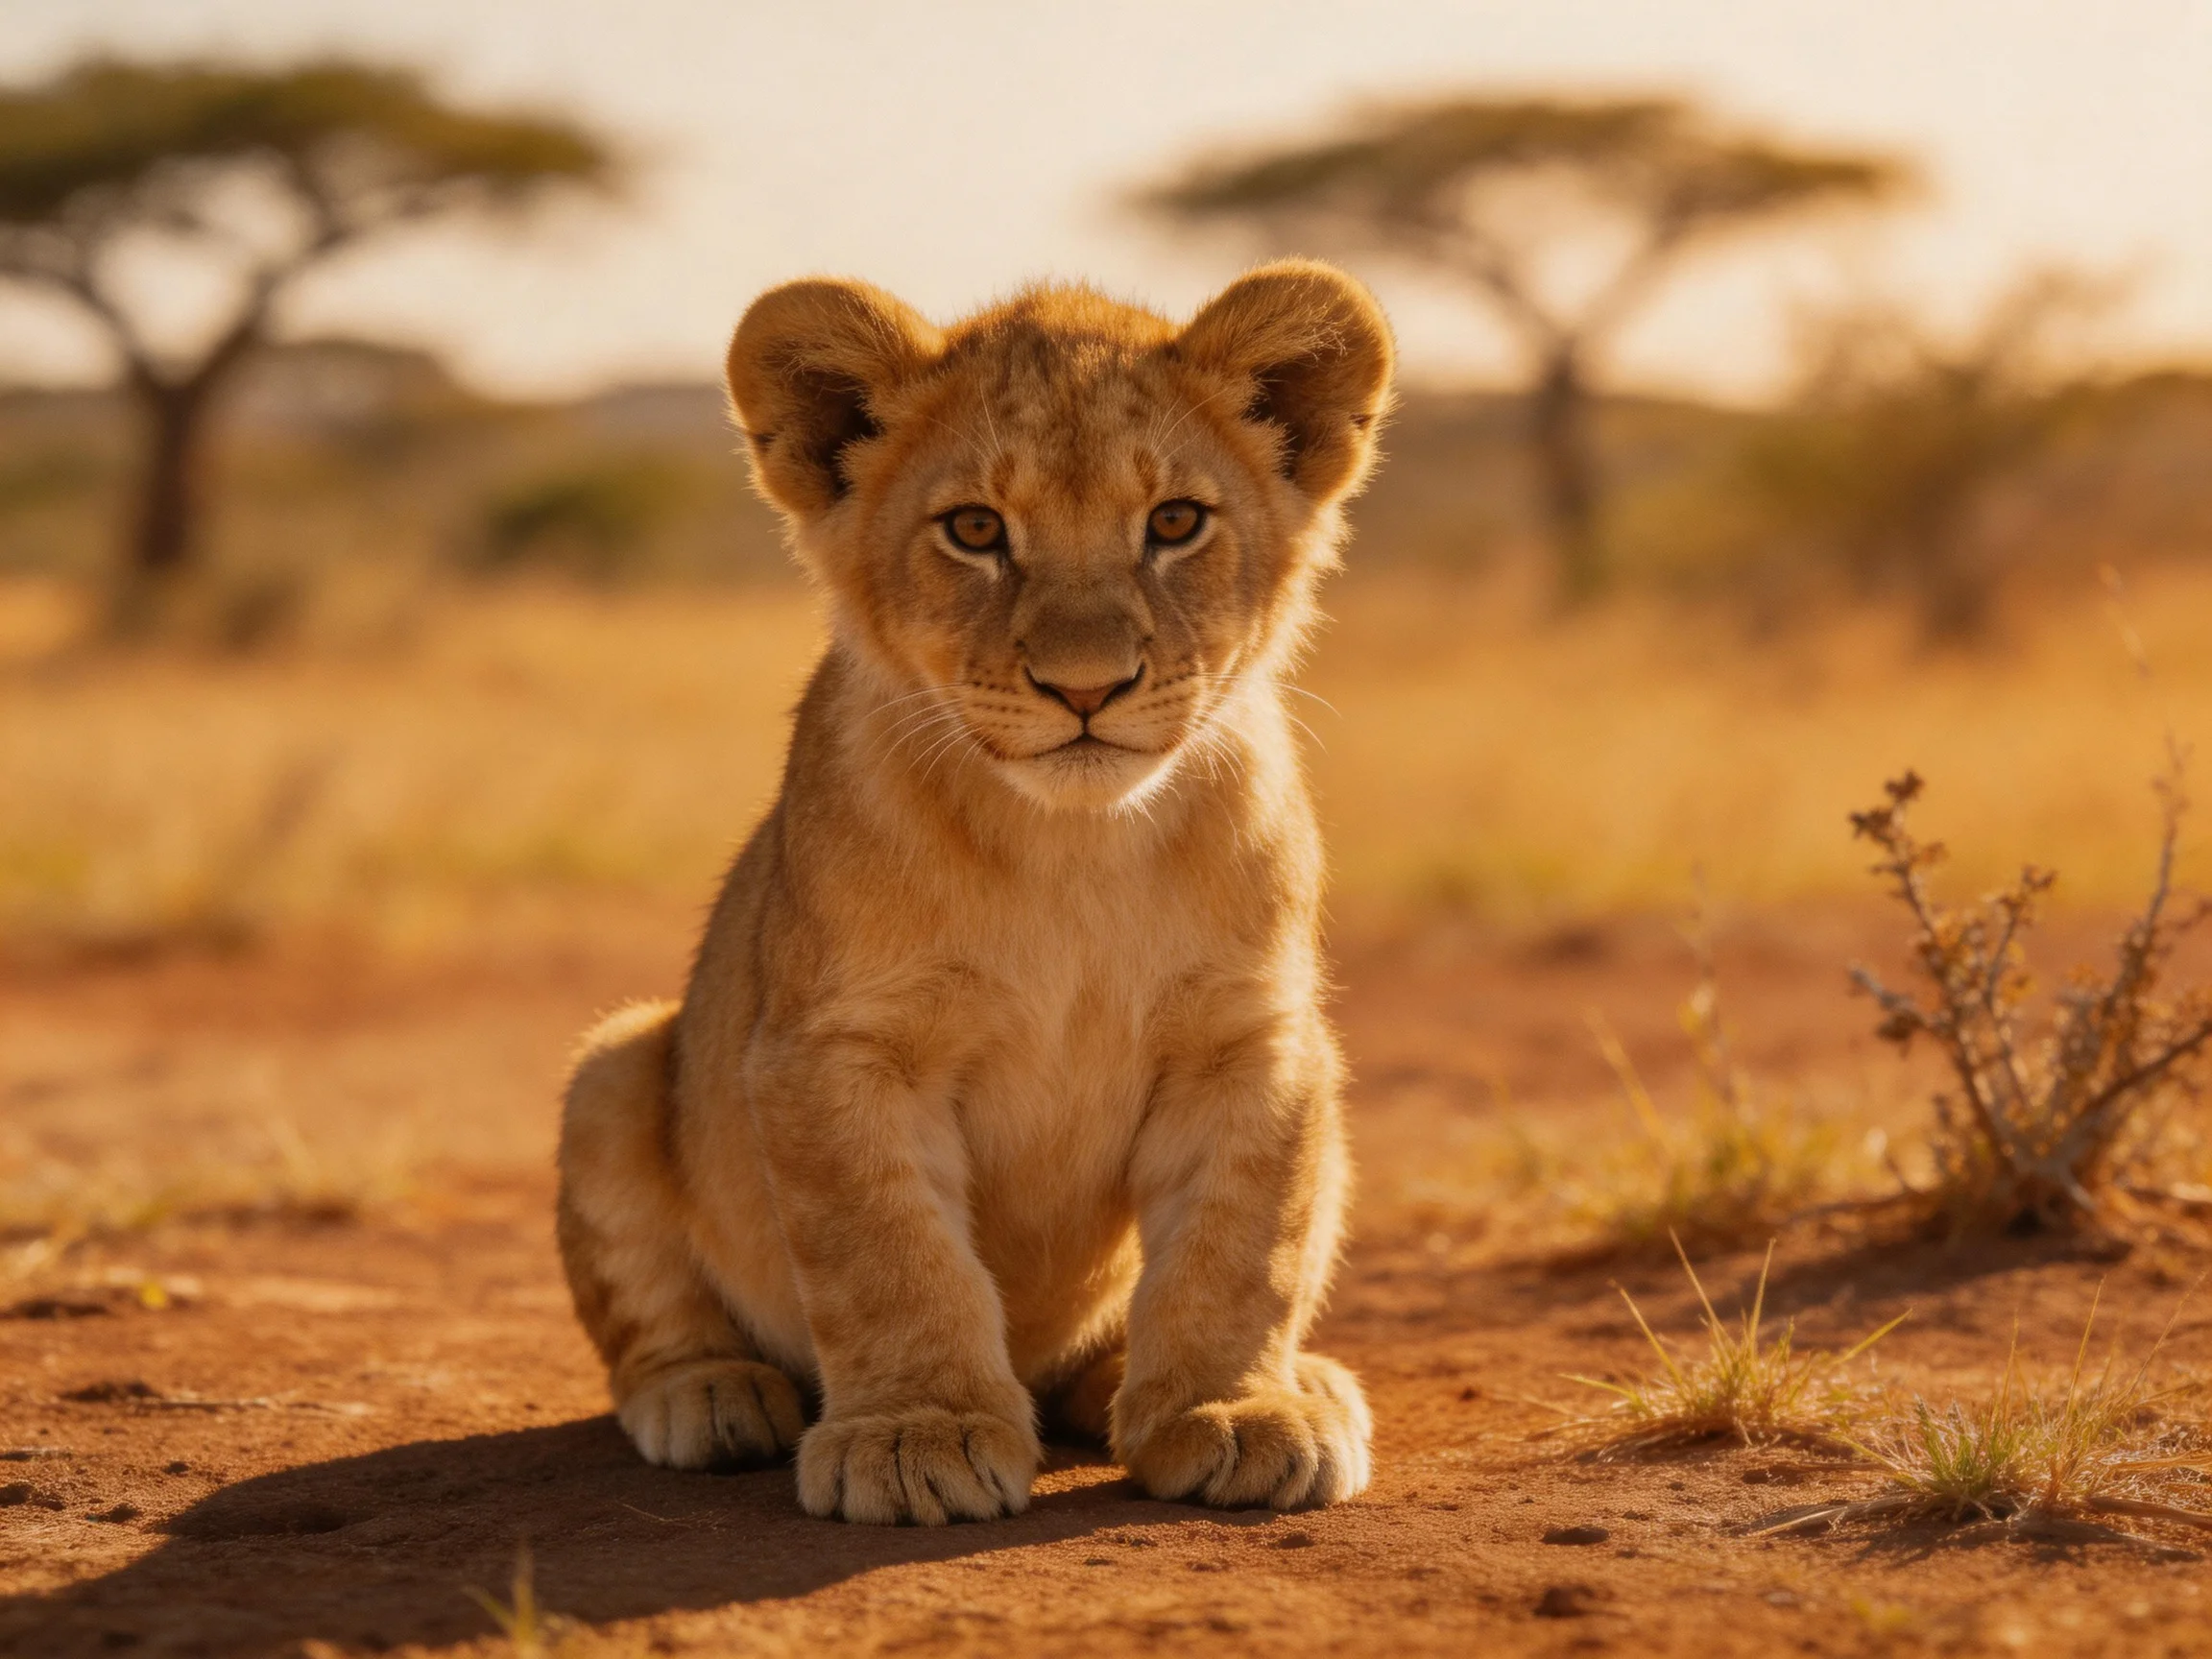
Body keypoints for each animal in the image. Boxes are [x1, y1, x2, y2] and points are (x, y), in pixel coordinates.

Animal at [555, 260, 1395, 1525]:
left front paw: (1232, 1409)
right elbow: (891, 1254)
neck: (1072, 849)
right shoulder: (837, 1049)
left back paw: (1258, 1383)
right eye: (976, 530)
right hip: (615, 1065)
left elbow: (1243, 1243)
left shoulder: (1251, 1038)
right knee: (650, 1325)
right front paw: (920, 1434)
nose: (1088, 686)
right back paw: (709, 1394)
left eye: (1175, 522)